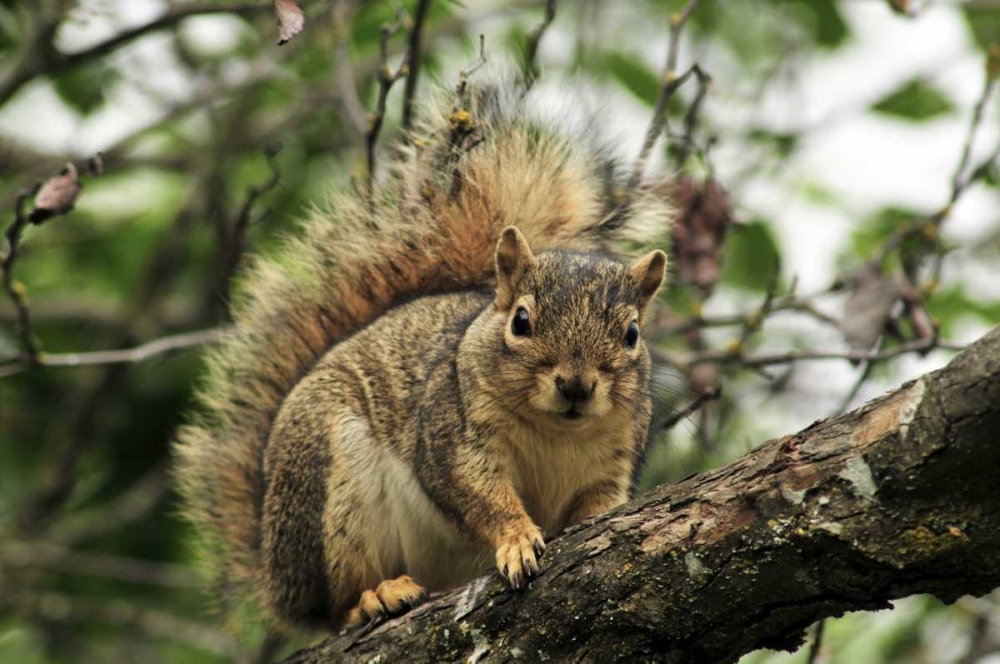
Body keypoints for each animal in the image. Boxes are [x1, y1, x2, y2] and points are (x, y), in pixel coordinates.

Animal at [174, 77, 673, 633]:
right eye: (521, 321)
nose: (576, 385)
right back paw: (375, 596)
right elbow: (478, 494)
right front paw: (518, 538)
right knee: (336, 604)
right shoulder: (451, 430)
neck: (557, 434)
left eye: (632, 333)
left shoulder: (613, 458)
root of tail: (279, 579)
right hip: (330, 480)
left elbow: (600, 505)